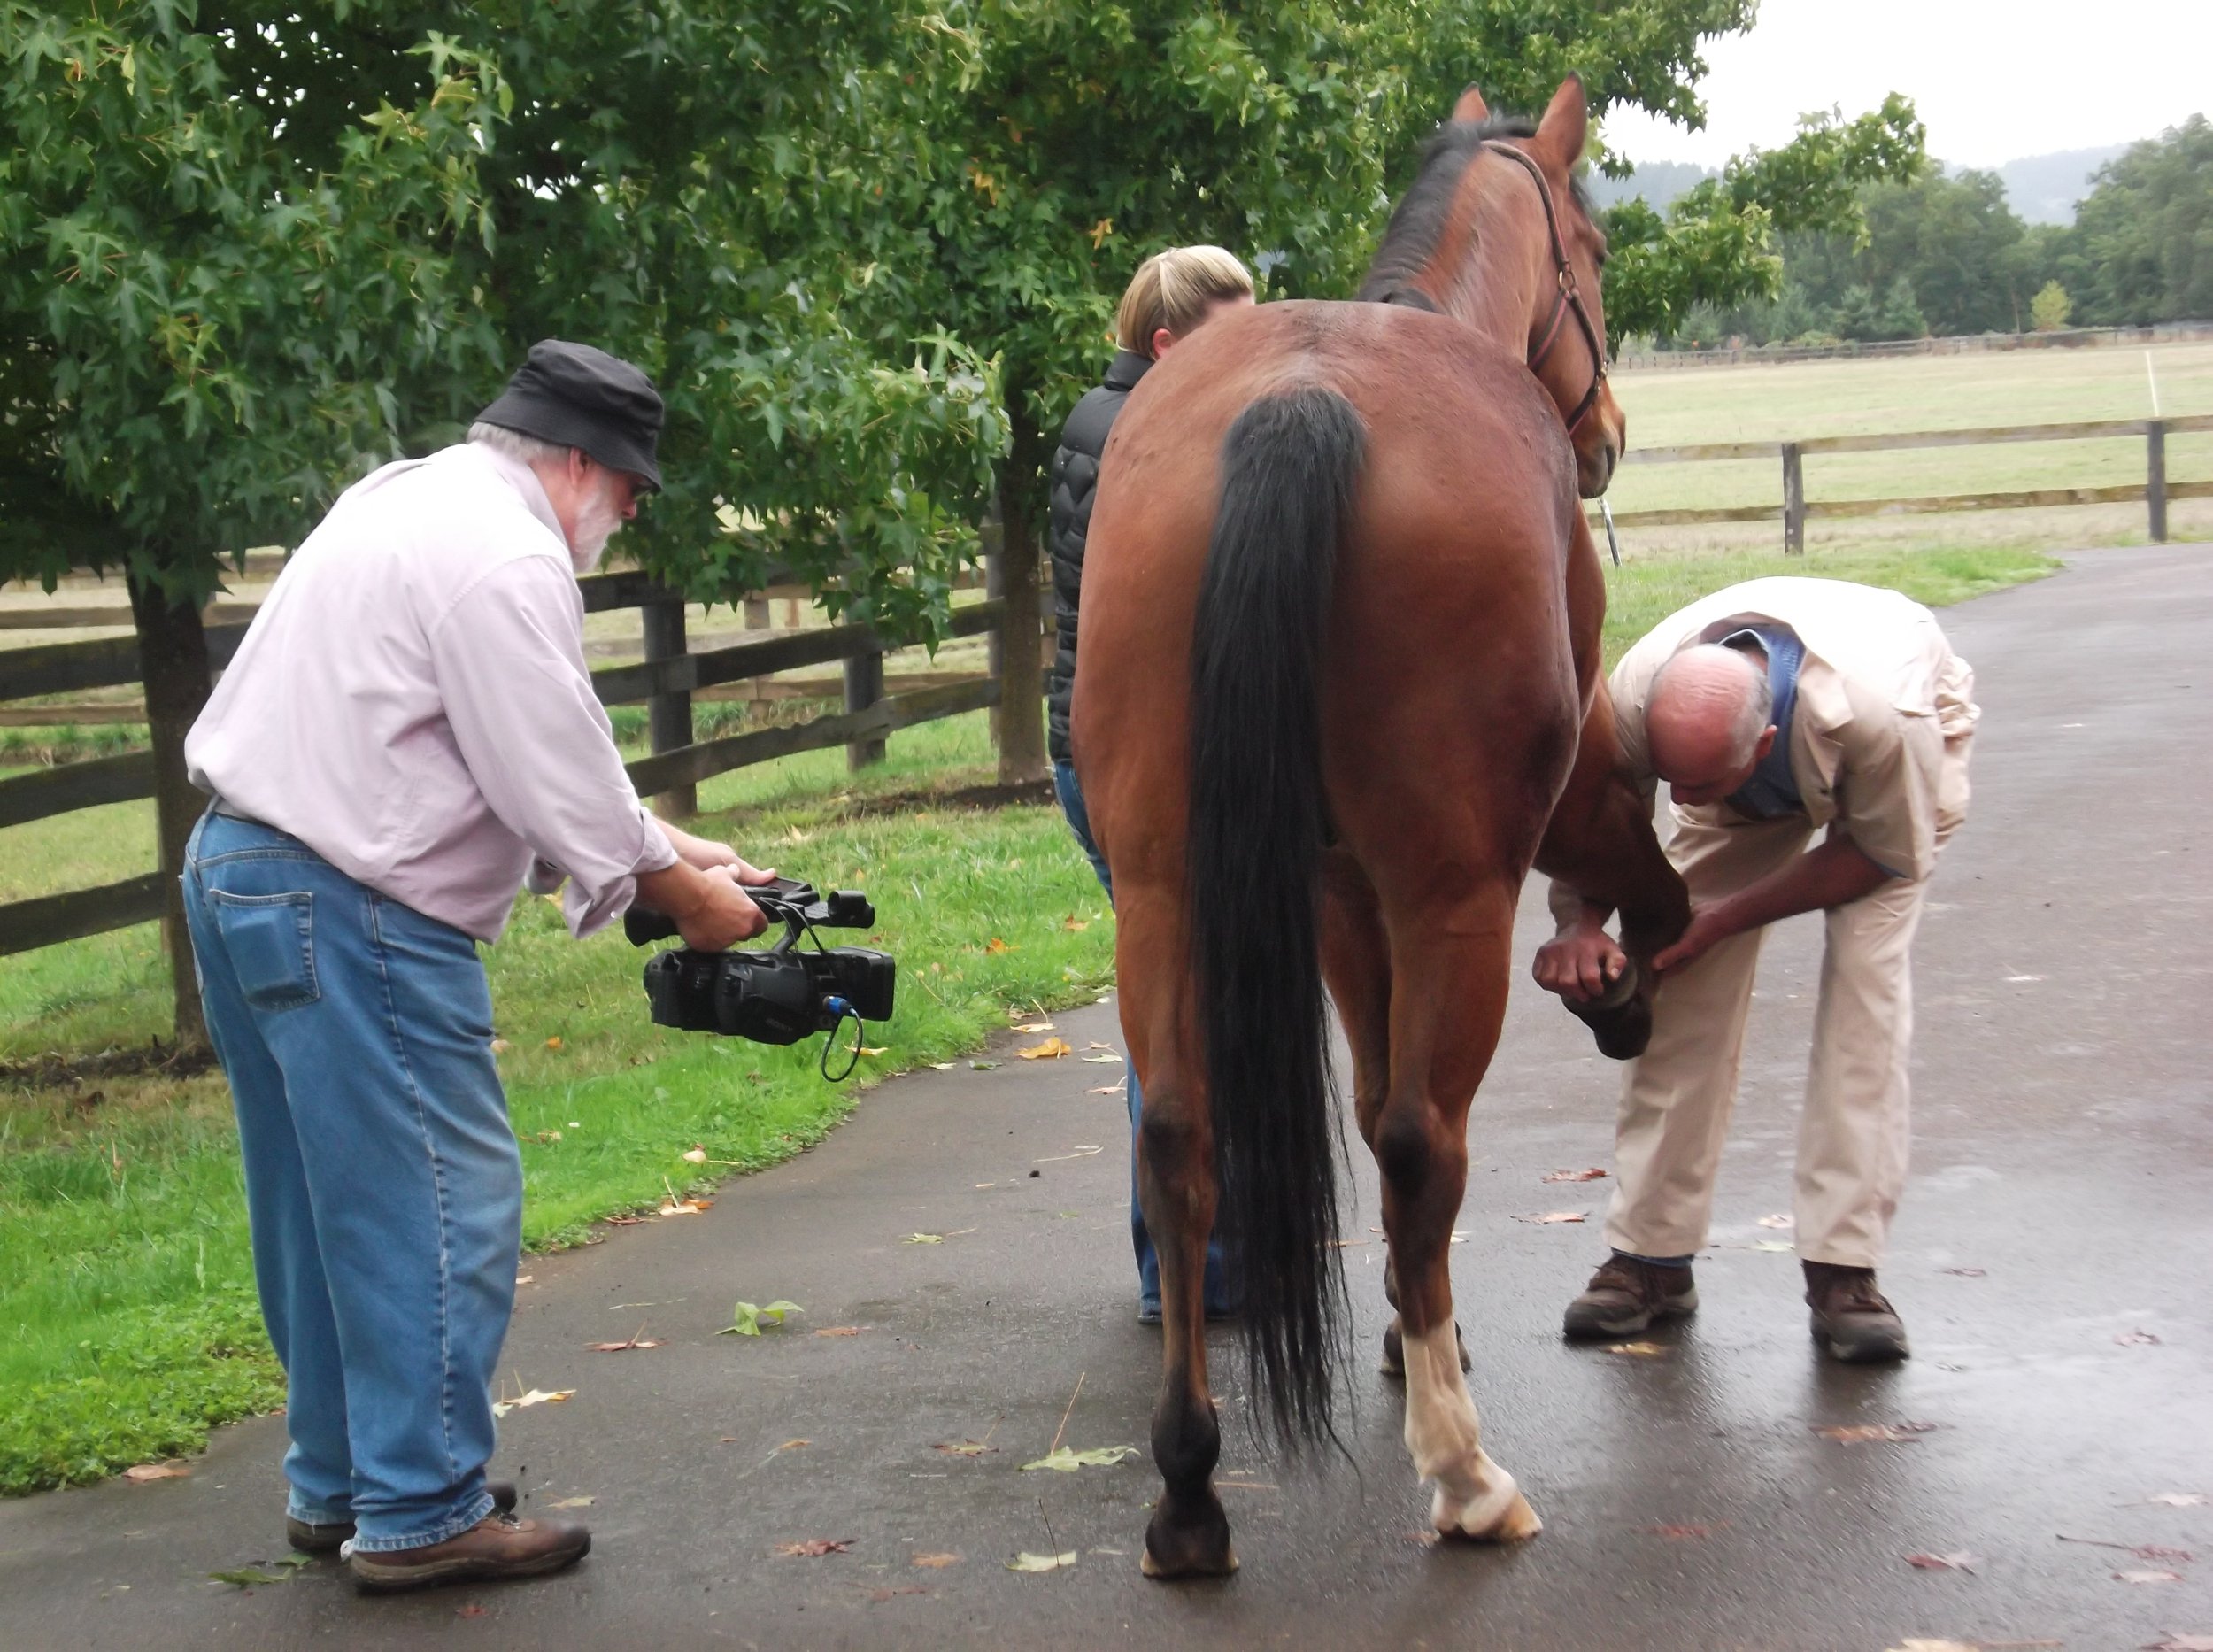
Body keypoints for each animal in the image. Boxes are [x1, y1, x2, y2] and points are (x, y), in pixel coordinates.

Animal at [1071, 73, 1691, 1567]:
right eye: (1595, 248)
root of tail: (1304, 403)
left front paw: (1419, 1335)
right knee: (1423, 1139)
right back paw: (1465, 1475)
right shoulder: (1504, 832)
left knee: (1182, 1137)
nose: (1606, 435)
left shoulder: (1339, 897)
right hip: (1452, 896)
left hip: (1167, 892)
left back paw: (1190, 1486)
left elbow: (1349, 1101)